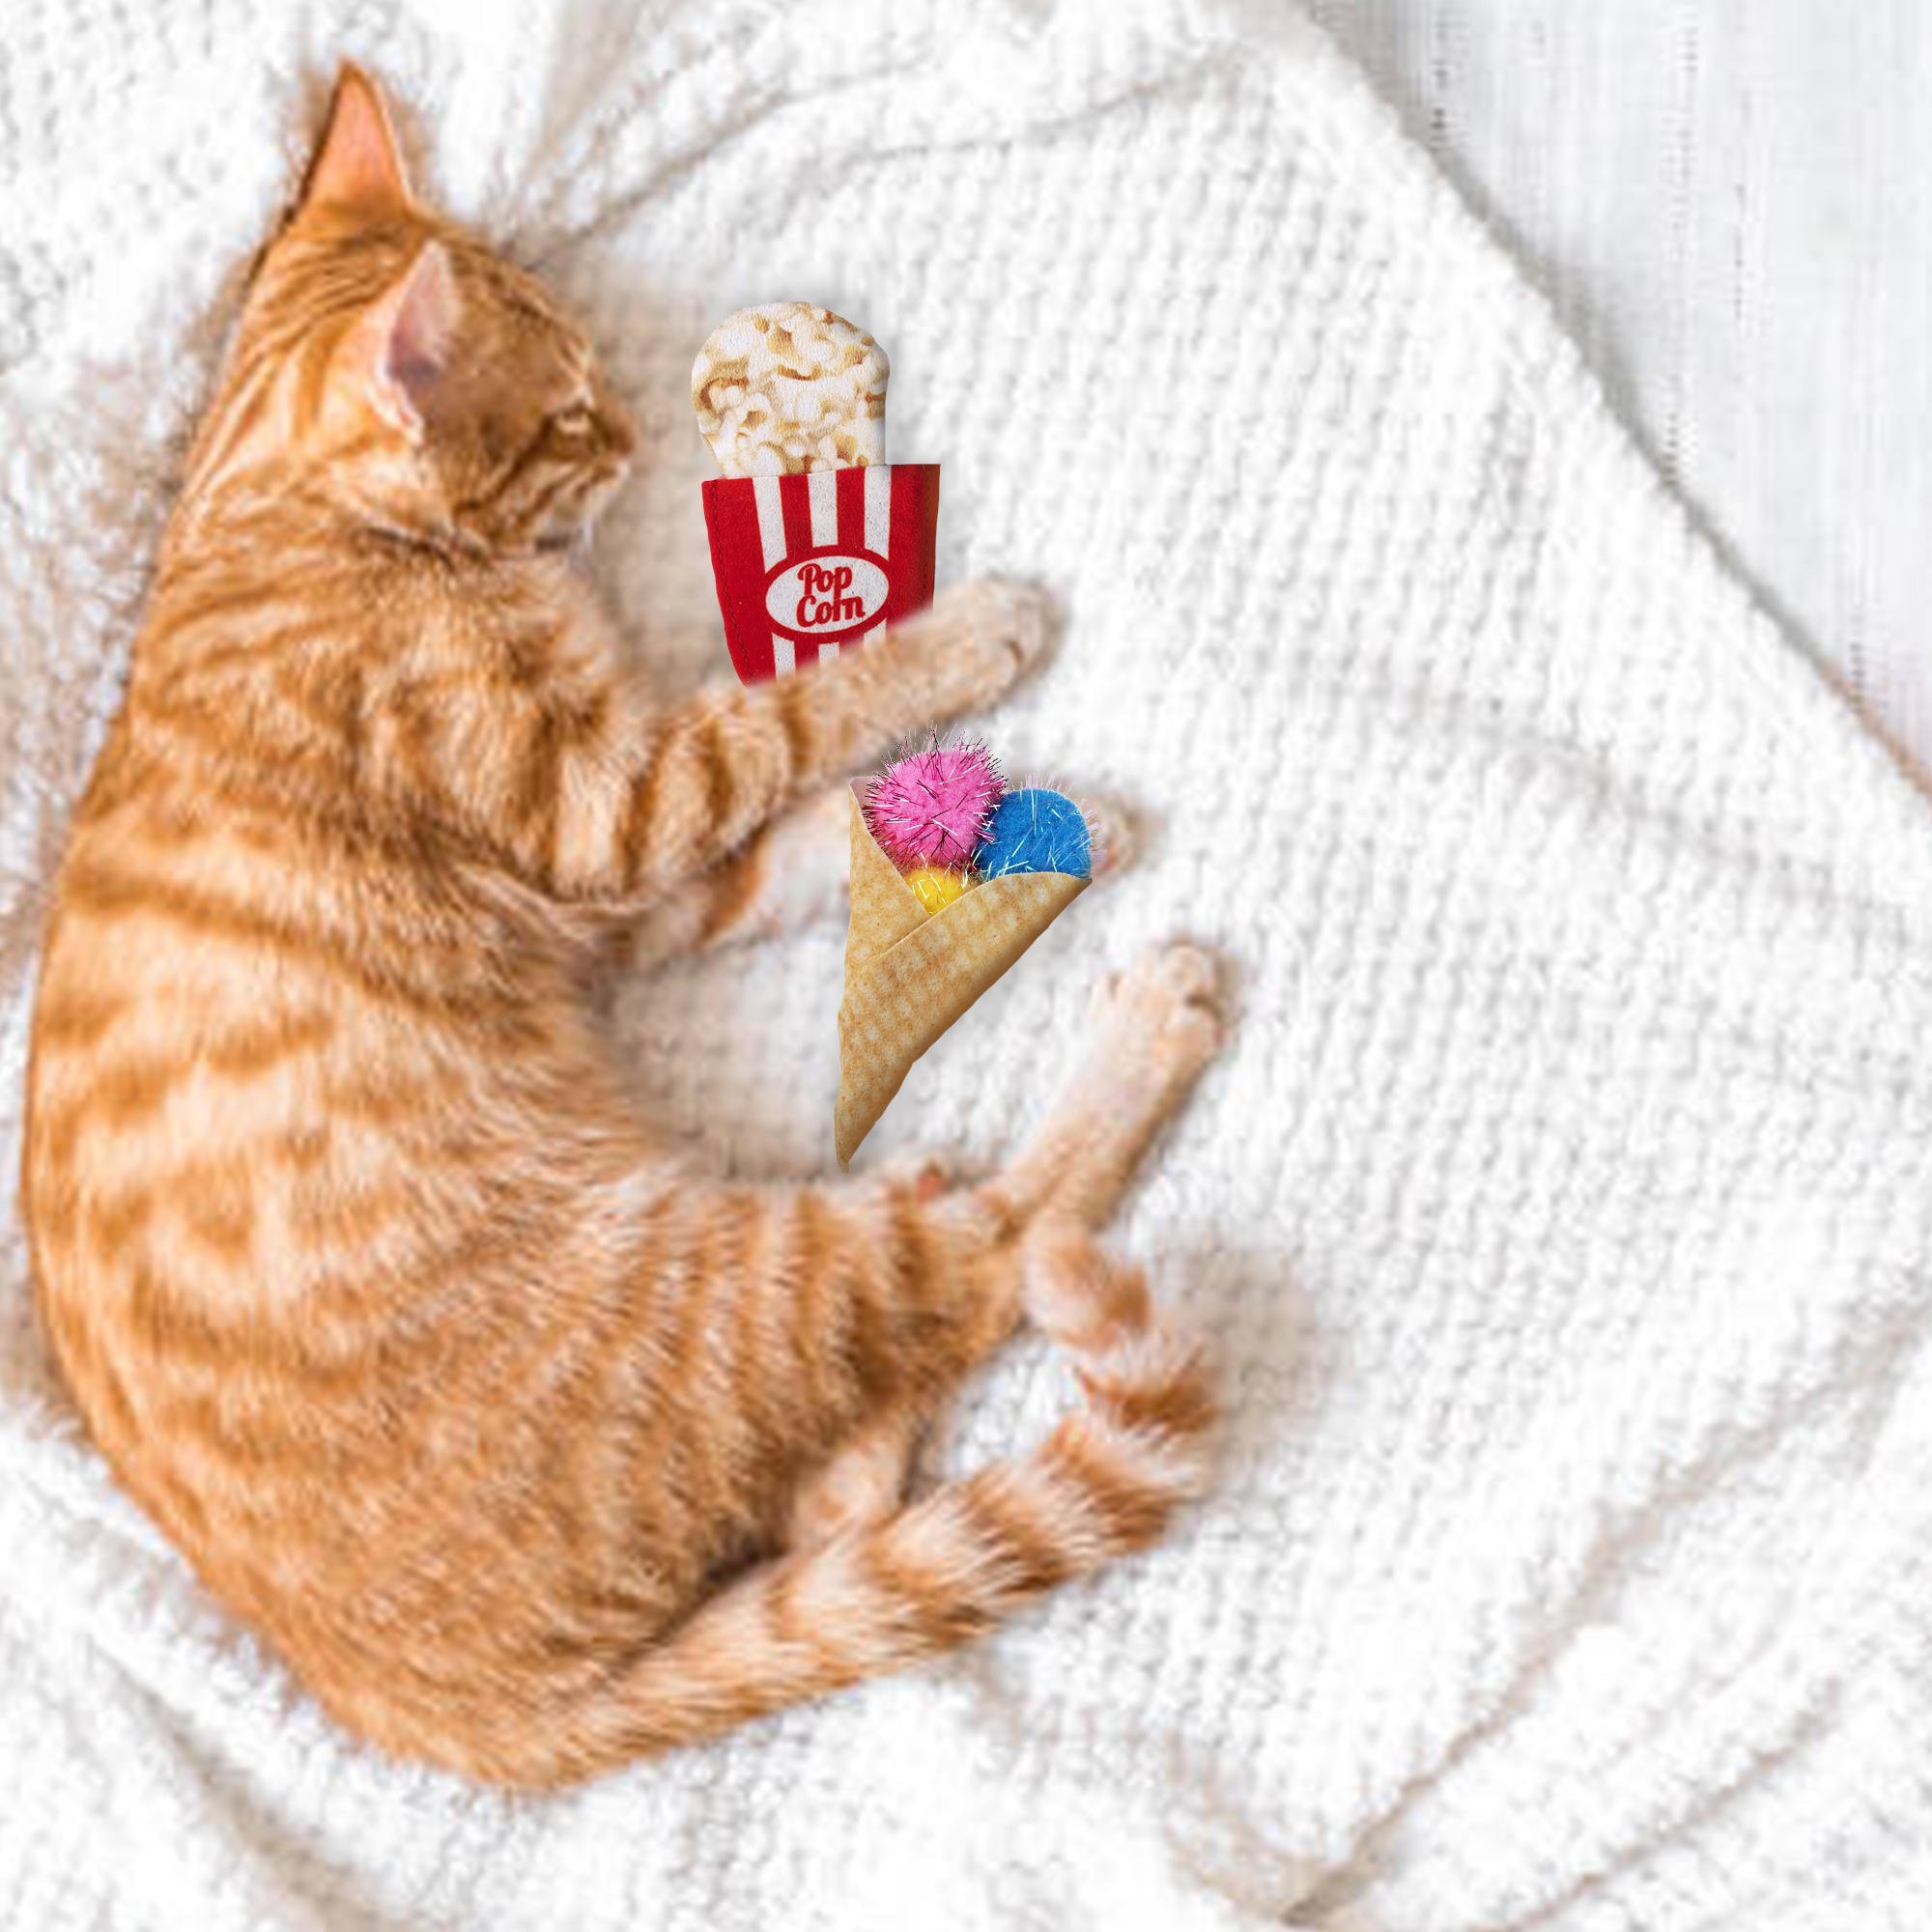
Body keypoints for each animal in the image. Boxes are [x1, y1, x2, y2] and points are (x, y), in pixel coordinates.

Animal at [20, 64, 1228, 1787]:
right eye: (573, 414)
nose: (645, 431)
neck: (280, 522)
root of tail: (483, 1726)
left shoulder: (621, 890)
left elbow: (795, 841)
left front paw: (1002, 836)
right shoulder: (613, 810)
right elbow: (798, 712)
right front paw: (964, 645)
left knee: (847, 1489)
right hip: (751, 1278)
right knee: (995, 1261)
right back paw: (1142, 1033)